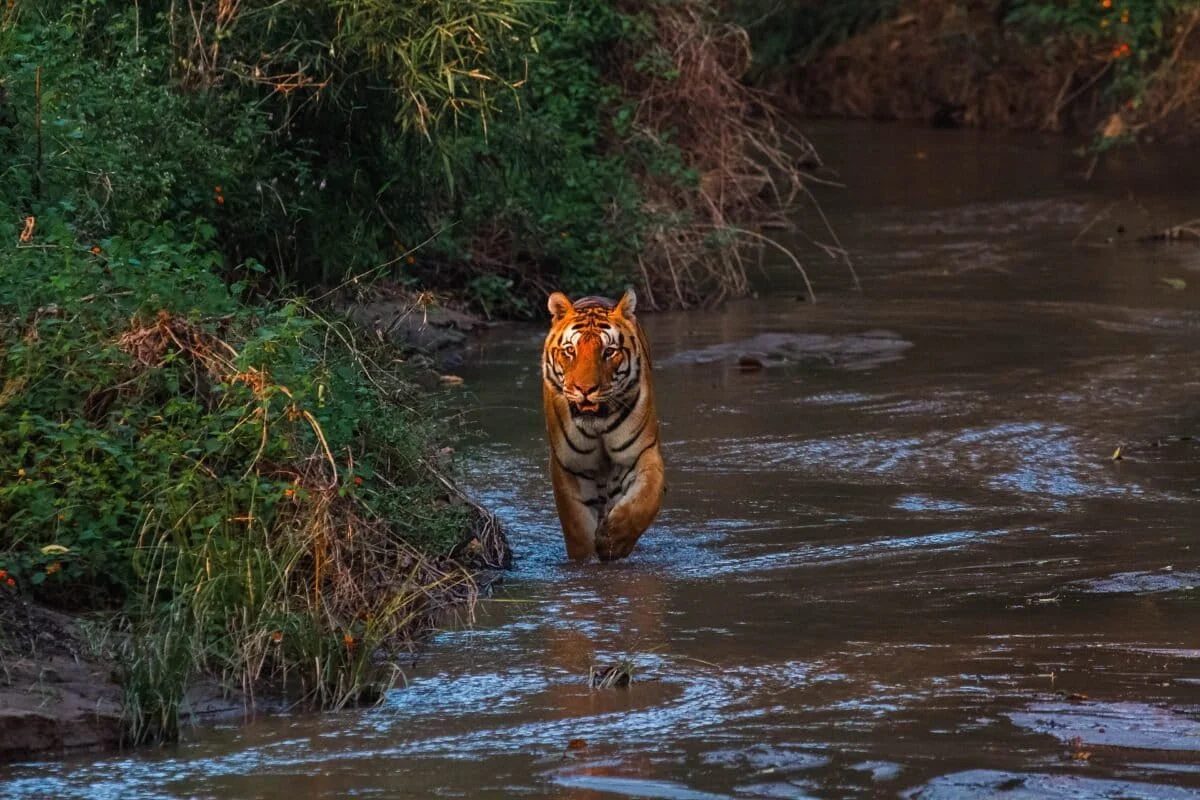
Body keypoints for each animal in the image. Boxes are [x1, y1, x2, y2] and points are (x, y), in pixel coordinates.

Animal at [542, 288, 664, 561]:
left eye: (609, 352)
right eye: (570, 350)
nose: (585, 389)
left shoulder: (642, 453)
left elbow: (644, 501)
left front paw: (613, 541)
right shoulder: (569, 465)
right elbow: (577, 526)